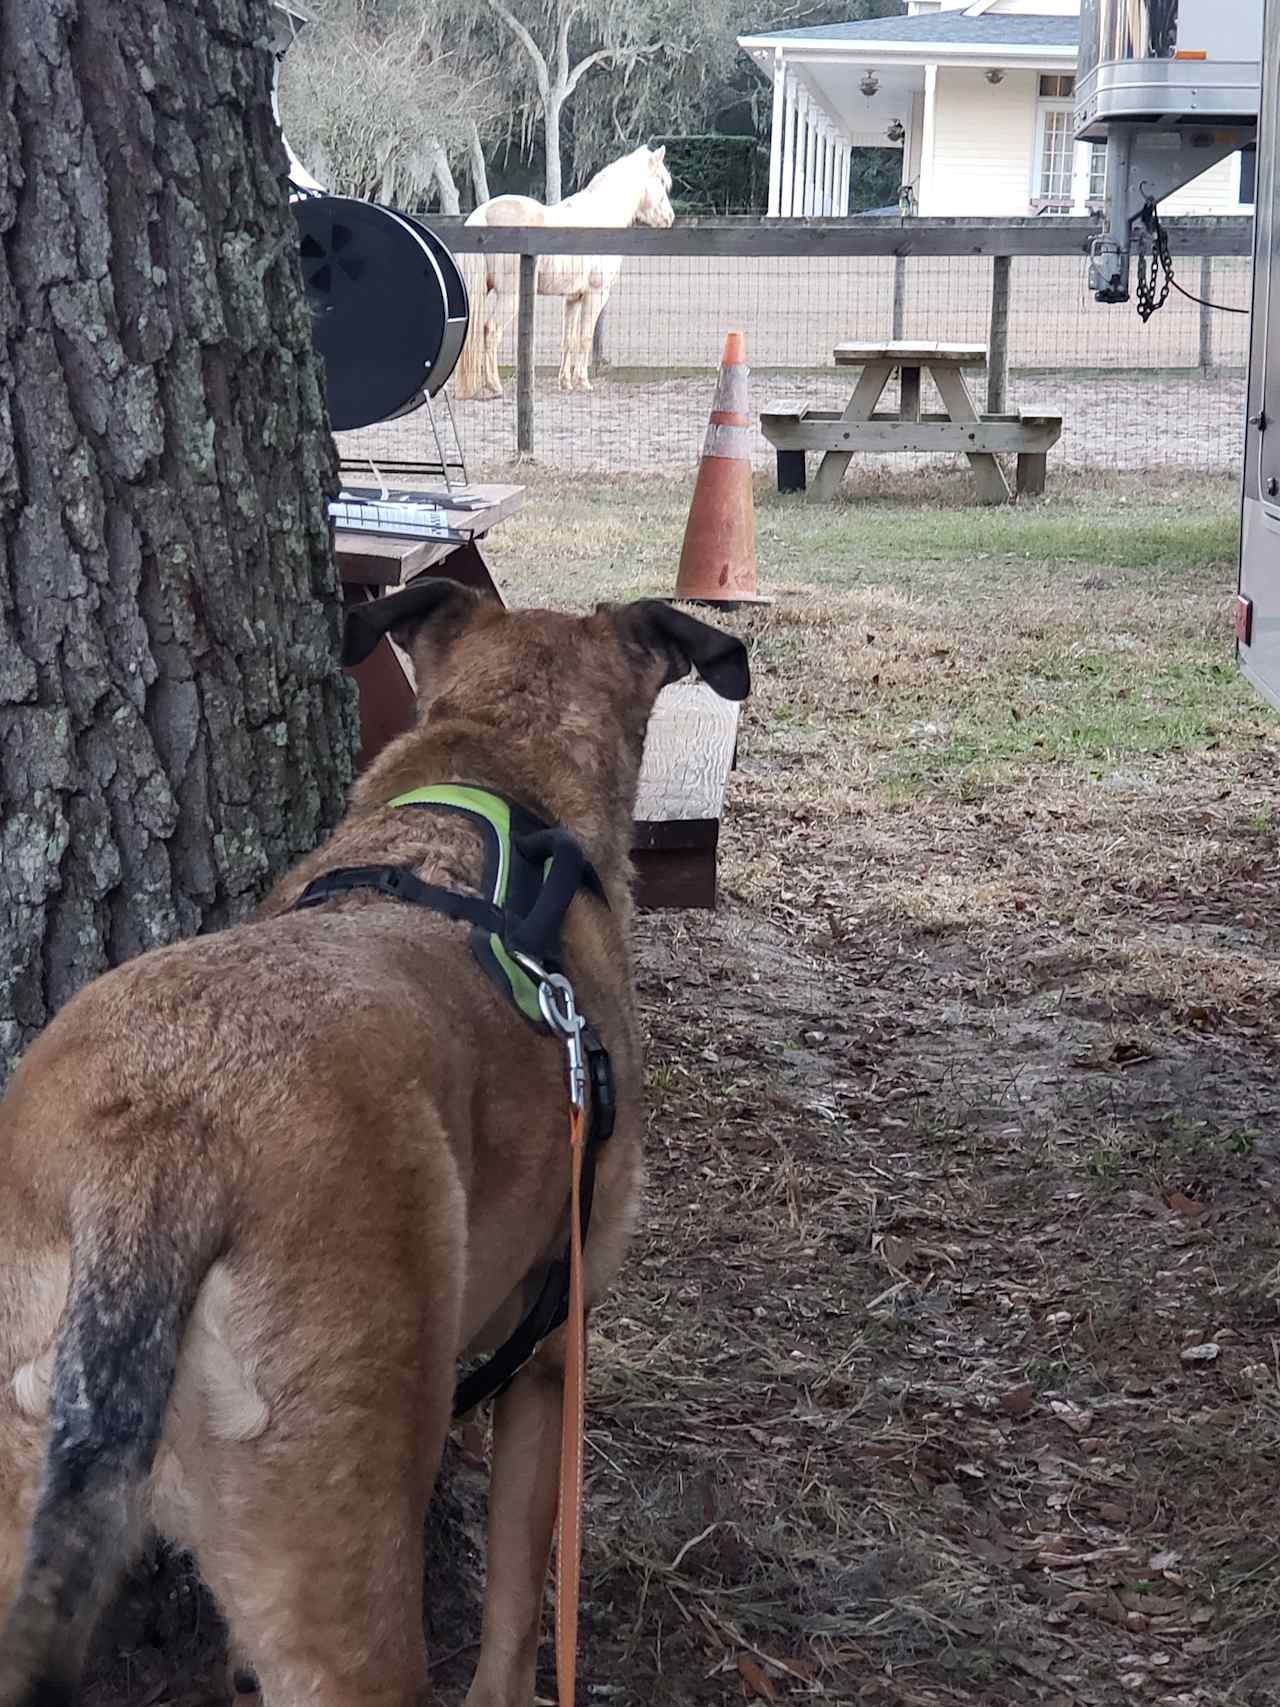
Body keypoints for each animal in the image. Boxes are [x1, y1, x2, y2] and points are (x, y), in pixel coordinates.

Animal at [453, 141, 675, 401]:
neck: (600, 216)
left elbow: (568, 339)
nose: (669, 218)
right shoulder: (596, 294)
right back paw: (495, 386)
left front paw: (565, 382)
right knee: (491, 330)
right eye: (661, 181)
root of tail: (482, 215)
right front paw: (583, 382)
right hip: (510, 296)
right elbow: (585, 337)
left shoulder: (573, 298)